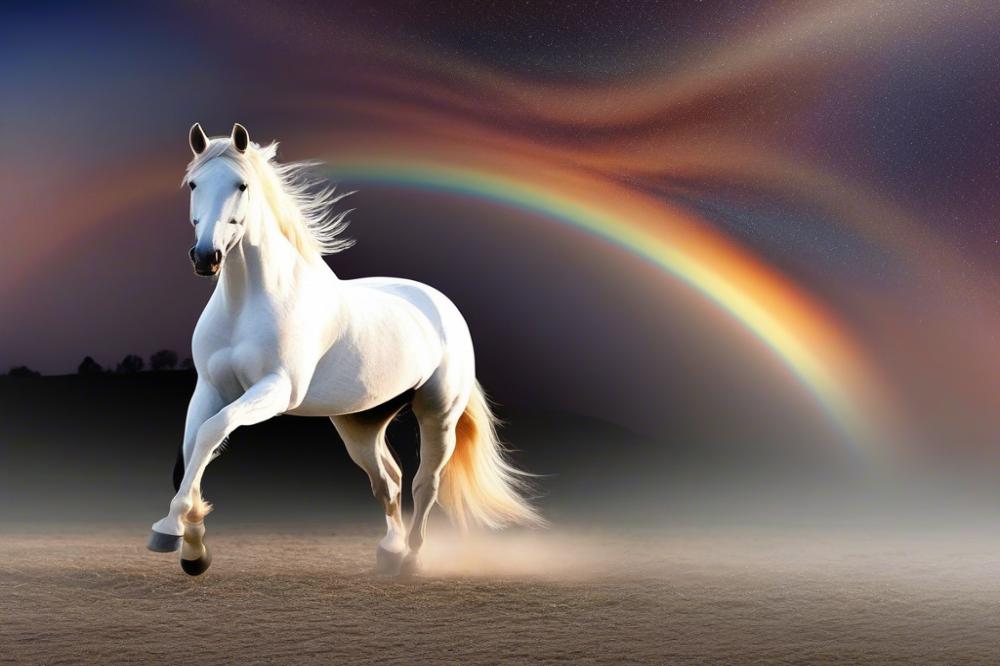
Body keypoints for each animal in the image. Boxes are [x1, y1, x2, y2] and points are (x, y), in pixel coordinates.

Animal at [147, 122, 542, 576]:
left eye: (241, 185)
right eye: (194, 183)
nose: (205, 257)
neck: (248, 302)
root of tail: (441, 305)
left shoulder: (276, 389)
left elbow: (213, 431)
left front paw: (174, 530)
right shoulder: (211, 388)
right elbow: (194, 446)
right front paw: (191, 544)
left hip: (438, 414)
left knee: (425, 483)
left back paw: (411, 560)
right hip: (361, 422)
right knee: (388, 480)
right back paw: (389, 552)